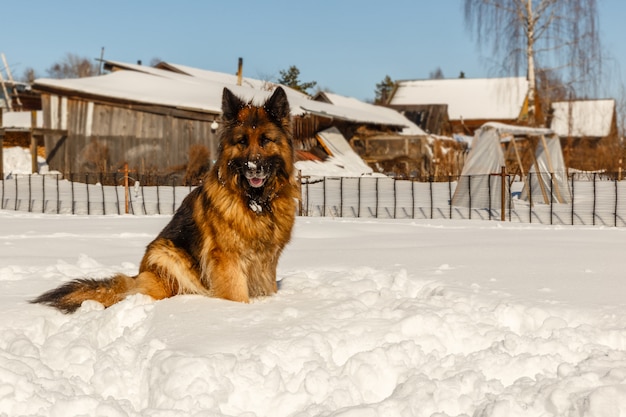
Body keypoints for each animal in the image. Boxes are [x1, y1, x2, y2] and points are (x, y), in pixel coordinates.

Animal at [30, 86, 298, 312]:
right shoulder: (227, 259)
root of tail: (137, 275)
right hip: (167, 255)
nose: (253, 168)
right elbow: (237, 296)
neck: (257, 202)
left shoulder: (267, 262)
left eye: (265, 140)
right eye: (242, 142)